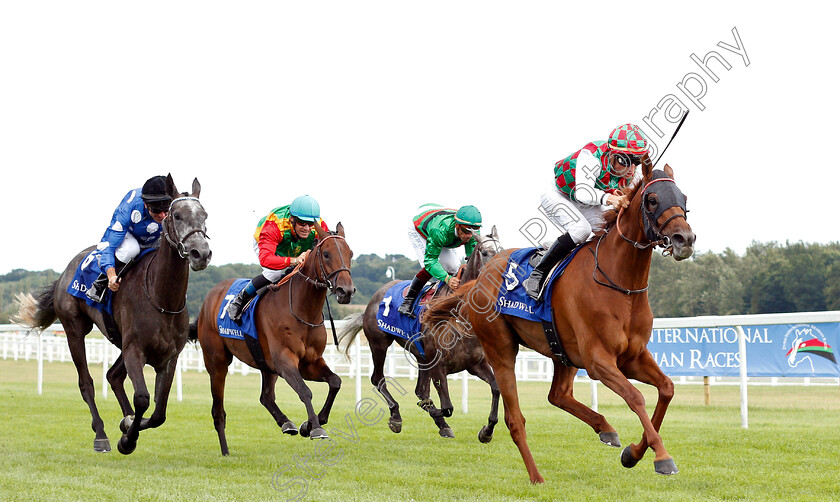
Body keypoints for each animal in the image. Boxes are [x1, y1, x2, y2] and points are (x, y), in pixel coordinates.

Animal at [13, 176, 212, 454]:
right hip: (74, 329)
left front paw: (130, 426)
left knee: (113, 376)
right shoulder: (134, 350)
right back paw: (101, 435)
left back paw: (125, 420)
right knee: (87, 383)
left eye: (205, 215)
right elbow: (143, 398)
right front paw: (127, 439)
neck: (162, 298)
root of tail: (66, 271)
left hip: (119, 341)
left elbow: (159, 413)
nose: (200, 253)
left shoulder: (169, 357)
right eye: (177, 215)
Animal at [194, 224, 354, 454]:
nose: (346, 291)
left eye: (350, 254)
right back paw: (225, 451)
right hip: (217, 362)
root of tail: (210, 297)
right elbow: (305, 391)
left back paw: (286, 423)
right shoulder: (285, 359)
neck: (303, 310)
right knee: (218, 411)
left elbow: (335, 382)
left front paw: (311, 424)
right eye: (326, 254)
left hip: (265, 363)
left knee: (266, 396)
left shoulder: (310, 362)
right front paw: (315, 428)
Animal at [338, 226, 502, 440]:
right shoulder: (438, 366)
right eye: (484, 252)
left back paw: (441, 425)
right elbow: (446, 407)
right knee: (378, 379)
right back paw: (396, 416)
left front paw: (487, 430)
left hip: (421, 357)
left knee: (420, 390)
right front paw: (430, 412)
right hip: (379, 343)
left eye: (502, 250)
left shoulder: (476, 364)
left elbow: (496, 389)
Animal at [426, 162, 696, 482]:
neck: (620, 285)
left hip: (562, 353)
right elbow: (636, 397)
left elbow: (666, 388)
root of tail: (480, 278)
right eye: (652, 200)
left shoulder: (633, 357)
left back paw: (605, 429)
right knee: (515, 419)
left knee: (558, 395)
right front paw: (662, 457)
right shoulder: (598, 361)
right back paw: (536, 476)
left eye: (684, 198)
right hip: (501, 349)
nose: (685, 239)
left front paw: (633, 453)